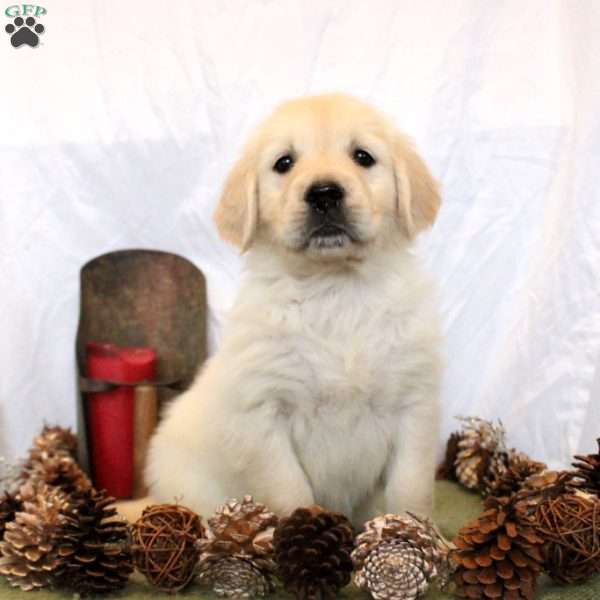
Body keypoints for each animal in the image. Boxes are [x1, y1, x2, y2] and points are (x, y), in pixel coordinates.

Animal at [145, 94, 440, 524]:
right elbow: (290, 492)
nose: (324, 193)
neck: (335, 290)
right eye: (284, 163)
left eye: (362, 156)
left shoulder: (415, 404)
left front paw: (417, 532)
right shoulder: (264, 412)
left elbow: (410, 489)